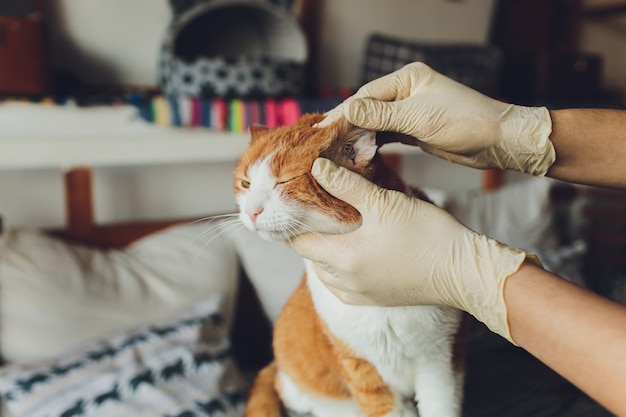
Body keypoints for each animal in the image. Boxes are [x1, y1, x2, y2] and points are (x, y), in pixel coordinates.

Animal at [233, 114, 464, 416]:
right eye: (246, 184)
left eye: (286, 181)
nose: (251, 212)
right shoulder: (360, 367)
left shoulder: (441, 361)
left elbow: (440, 404)